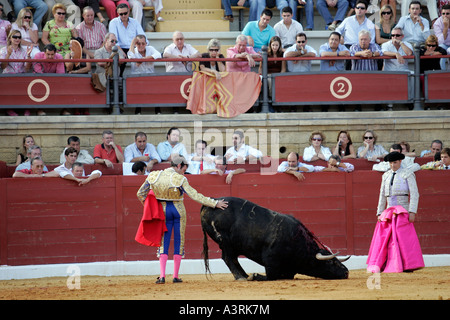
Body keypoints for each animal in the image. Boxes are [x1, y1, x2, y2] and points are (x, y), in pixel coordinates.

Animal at [202, 196, 350, 282]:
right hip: (225, 242)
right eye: (331, 262)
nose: (346, 272)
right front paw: (255, 276)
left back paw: (244, 275)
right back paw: (242, 277)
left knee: (232, 258)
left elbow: (286, 275)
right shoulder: (271, 262)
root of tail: (209, 204)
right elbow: (271, 276)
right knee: (228, 257)